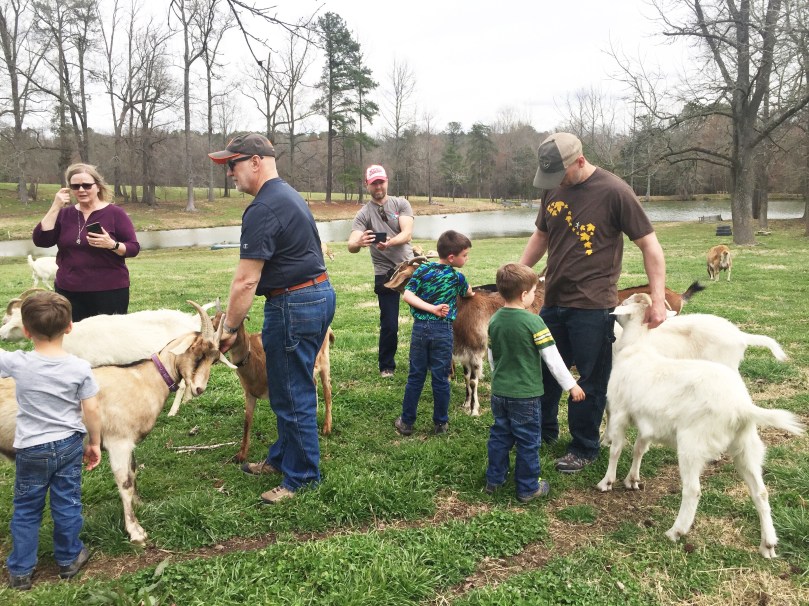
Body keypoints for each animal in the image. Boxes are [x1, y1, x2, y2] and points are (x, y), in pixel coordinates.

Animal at [0, 301, 231, 545]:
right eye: (197, 352)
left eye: (214, 359)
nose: (199, 389)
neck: (144, 379)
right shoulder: (119, 442)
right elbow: (125, 482)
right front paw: (136, 531)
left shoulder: (128, 443)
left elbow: (133, 470)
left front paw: (139, 504)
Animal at [205, 312, 335, 462]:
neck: (252, 357)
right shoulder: (249, 393)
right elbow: (247, 422)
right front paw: (241, 455)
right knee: (313, 384)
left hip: (324, 362)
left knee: (327, 391)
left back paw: (327, 428)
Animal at [598, 293, 804, 558]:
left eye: (625, 304)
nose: (612, 310)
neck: (637, 348)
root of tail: (741, 407)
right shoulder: (648, 420)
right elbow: (639, 449)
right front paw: (632, 480)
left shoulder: (620, 412)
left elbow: (616, 450)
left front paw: (607, 481)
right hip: (746, 444)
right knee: (761, 491)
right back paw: (768, 543)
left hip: (692, 444)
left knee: (693, 490)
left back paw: (676, 531)